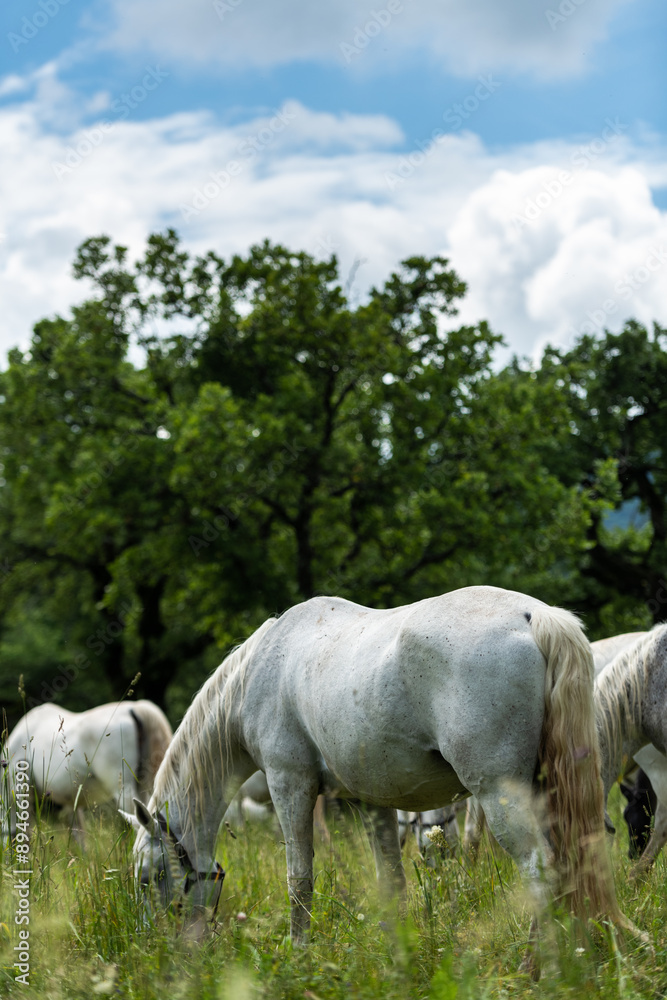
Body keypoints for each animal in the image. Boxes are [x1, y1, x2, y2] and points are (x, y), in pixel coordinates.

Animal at [122, 585, 631, 968]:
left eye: (148, 878)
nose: (155, 946)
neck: (262, 670)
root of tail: (531, 616)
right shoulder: (371, 804)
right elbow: (392, 883)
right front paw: (398, 955)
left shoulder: (290, 785)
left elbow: (299, 878)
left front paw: (299, 955)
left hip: (499, 796)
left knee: (540, 870)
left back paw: (535, 967)